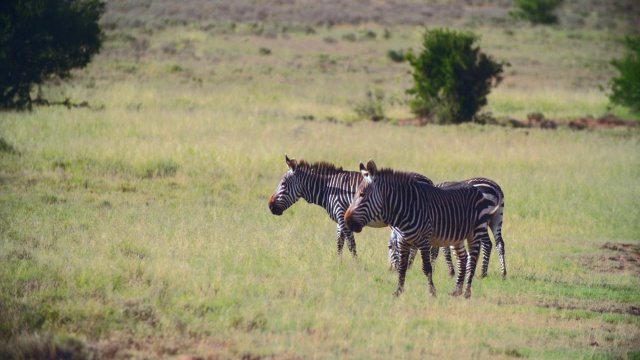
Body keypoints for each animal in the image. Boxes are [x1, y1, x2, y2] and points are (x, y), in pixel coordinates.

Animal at [344, 160, 490, 298]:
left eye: (362, 194)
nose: (347, 221)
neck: (404, 209)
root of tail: (475, 188)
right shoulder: (402, 241)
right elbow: (402, 267)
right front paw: (398, 292)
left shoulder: (424, 240)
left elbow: (427, 268)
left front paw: (432, 292)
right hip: (457, 237)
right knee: (462, 259)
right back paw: (456, 291)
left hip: (476, 232)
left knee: (471, 262)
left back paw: (466, 293)